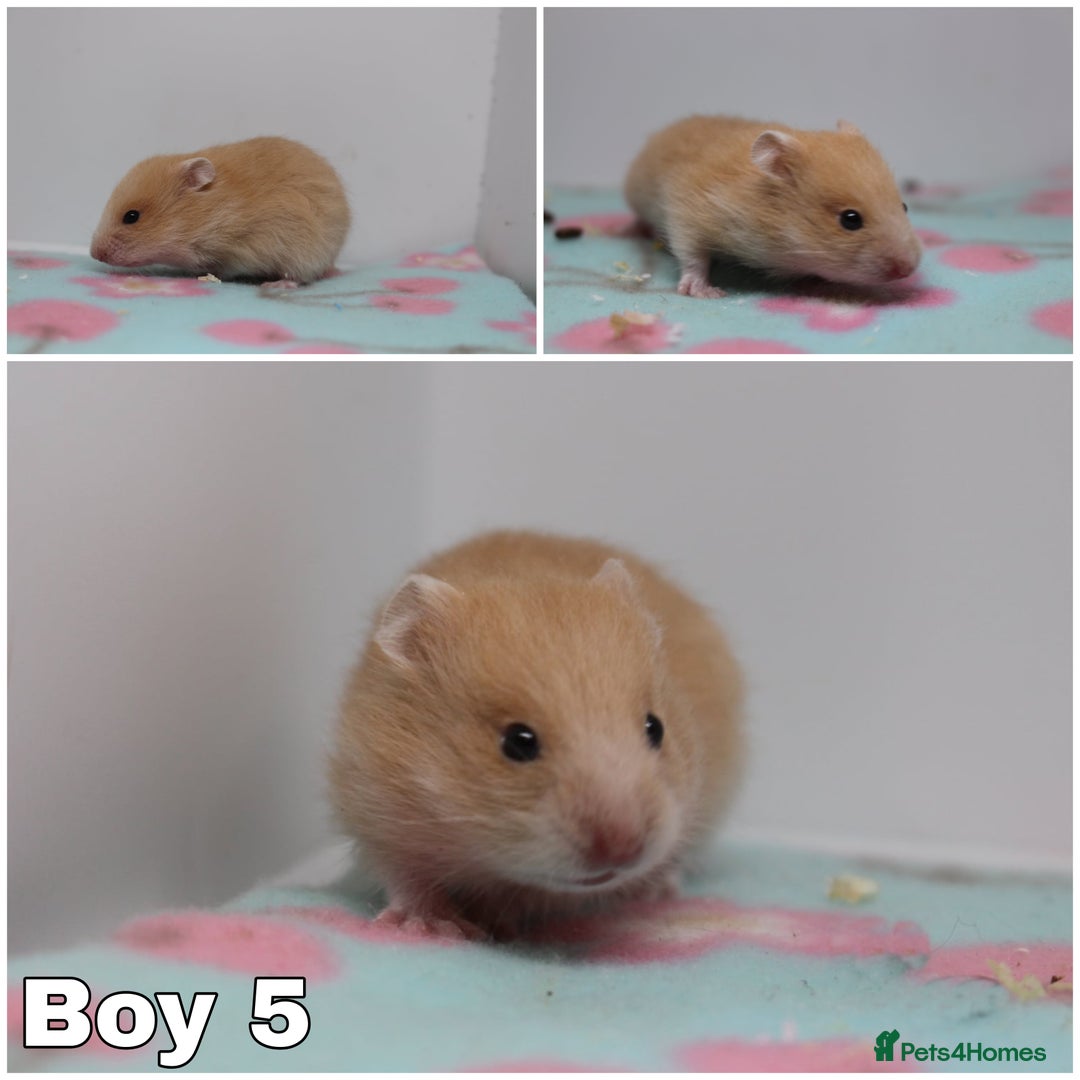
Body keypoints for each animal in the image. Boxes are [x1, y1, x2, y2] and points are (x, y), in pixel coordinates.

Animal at [329, 529, 744, 941]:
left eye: (655, 728)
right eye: (518, 741)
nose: (623, 850)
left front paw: (495, 920)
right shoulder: (376, 810)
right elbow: (409, 878)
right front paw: (437, 928)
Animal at [624, 115, 921, 298]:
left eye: (904, 206)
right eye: (850, 219)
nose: (908, 270)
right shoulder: (687, 212)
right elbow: (693, 256)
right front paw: (708, 293)